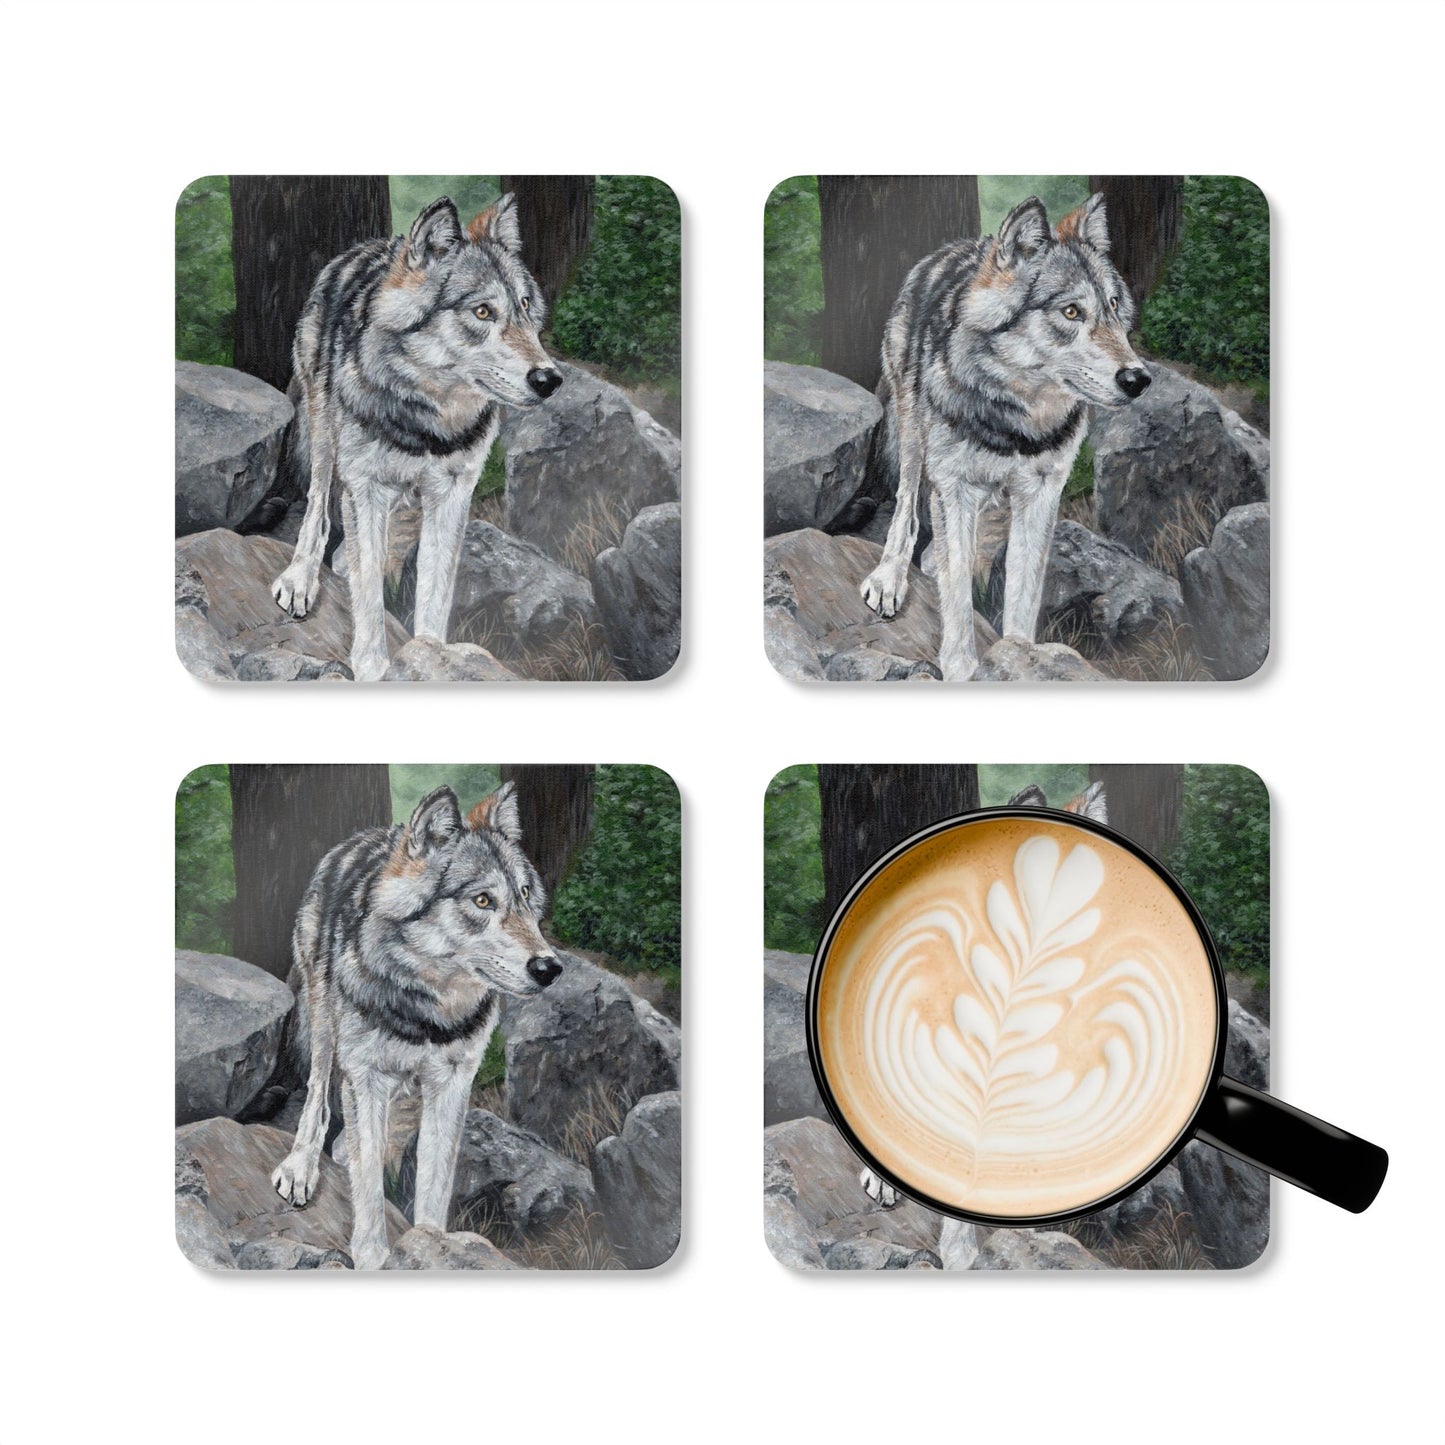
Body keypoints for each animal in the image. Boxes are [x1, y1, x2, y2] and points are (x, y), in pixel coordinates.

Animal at [269, 195, 562, 681]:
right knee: (318, 507)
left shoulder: (453, 494)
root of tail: (369, 245)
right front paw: (373, 669)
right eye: (483, 312)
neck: (428, 423)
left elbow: (433, 593)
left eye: (524, 306)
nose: (550, 379)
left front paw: (432, 657)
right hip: (323, 432)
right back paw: (301, 577)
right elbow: (369, 595)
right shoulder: (365, 486)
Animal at [270, 781, 562, 1269]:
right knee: (318, 1095)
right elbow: (369, 1185)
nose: (550, 968)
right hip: (324, 1020)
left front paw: (433, 1246)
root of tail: (367, 835)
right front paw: (373, 1258)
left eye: (525, 895)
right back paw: (301, 1165)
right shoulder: (366, 1075)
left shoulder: (453, 1083)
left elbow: (433, 1183)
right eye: (482, 900)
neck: (429, 1012)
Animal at [860, 194, 1151, 680]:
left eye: (1113, 305)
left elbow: (1022, 594)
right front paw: (962, 669)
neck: (1017, 423)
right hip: (912, 431)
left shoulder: (1042, 494)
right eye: (1071, 311)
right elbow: (958, 597)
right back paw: (891, 576)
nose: (1139, 379)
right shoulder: (954, 484)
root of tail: (955, 247)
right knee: (907, 505)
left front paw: (1021, 658)